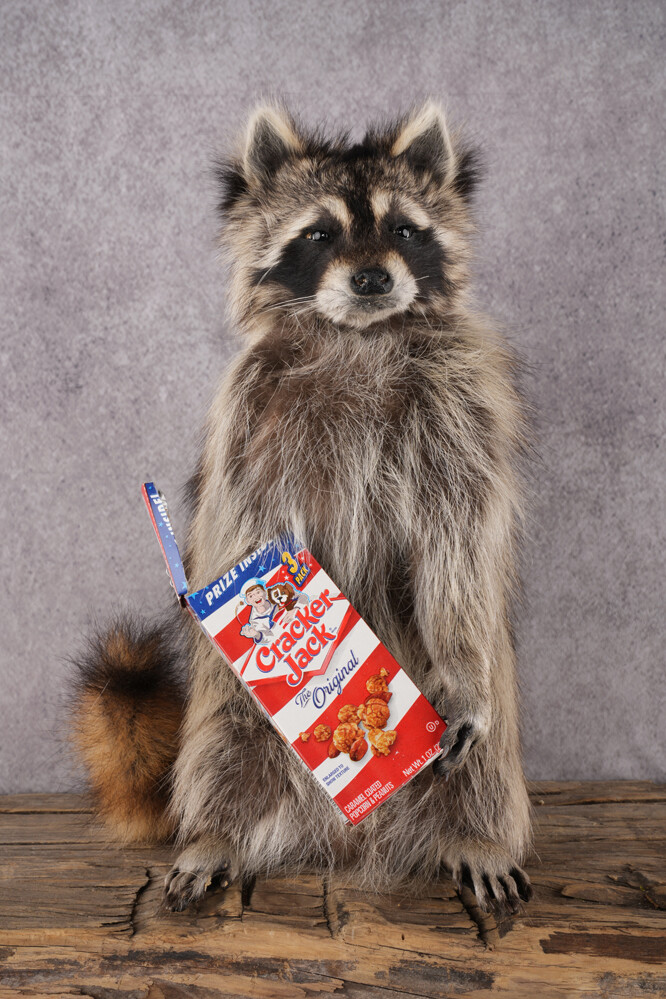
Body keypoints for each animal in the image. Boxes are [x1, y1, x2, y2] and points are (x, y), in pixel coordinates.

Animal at [71, 101, 533, 915]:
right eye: (319, 234)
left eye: (405, 229)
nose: (374, 276)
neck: (359, 334)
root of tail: (350, 844)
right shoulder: (250, 413)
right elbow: (243, 523)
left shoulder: (459, 407)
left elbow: (458, 543)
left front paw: (461, 668)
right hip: (230, 718)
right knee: (223, 740)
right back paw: (216, 831)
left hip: (473, 717)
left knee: (485, 755)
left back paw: (476, 833)